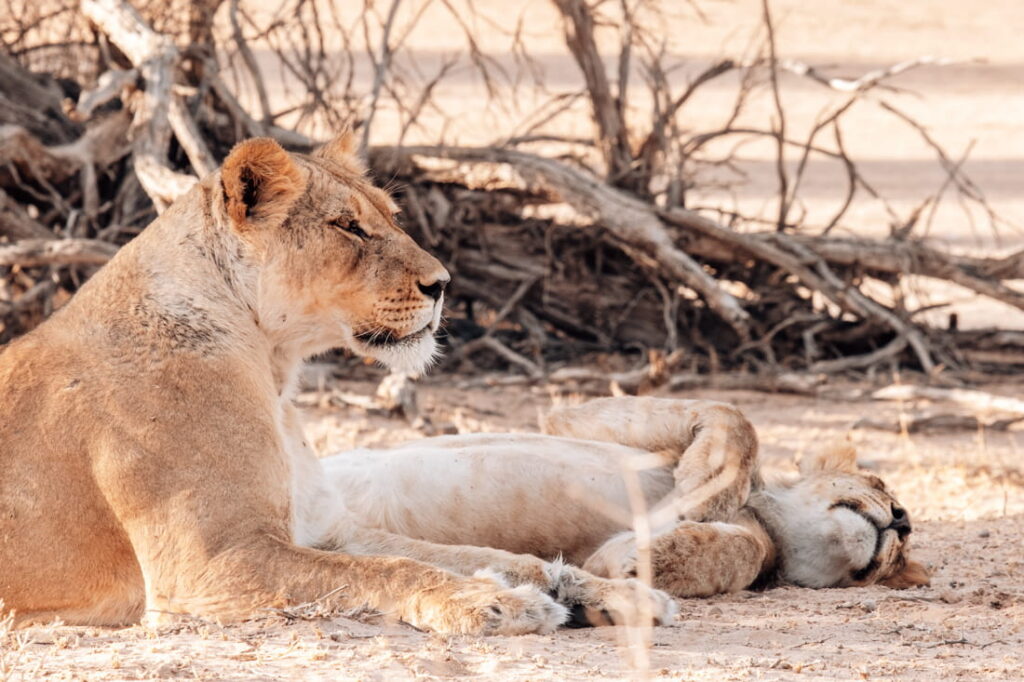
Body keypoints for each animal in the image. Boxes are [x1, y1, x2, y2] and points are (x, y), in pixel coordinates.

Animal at [0, 133, 674, 633]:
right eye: (349, 227)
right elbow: (389, 571)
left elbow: (491, 556)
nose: (443, 284)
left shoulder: (330, 528)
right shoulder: (210, 567)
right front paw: (495, 603)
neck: (273, 367)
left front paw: (609, 592)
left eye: (392, 217)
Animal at [316, 396, 929, 613]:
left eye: (891, 567)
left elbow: (740, 553)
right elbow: (734, 417)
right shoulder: (569, 418)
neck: (763, 514)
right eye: (879, 480)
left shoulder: (757, 549)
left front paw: (640, 557)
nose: (903, 520)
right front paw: (707, 480)